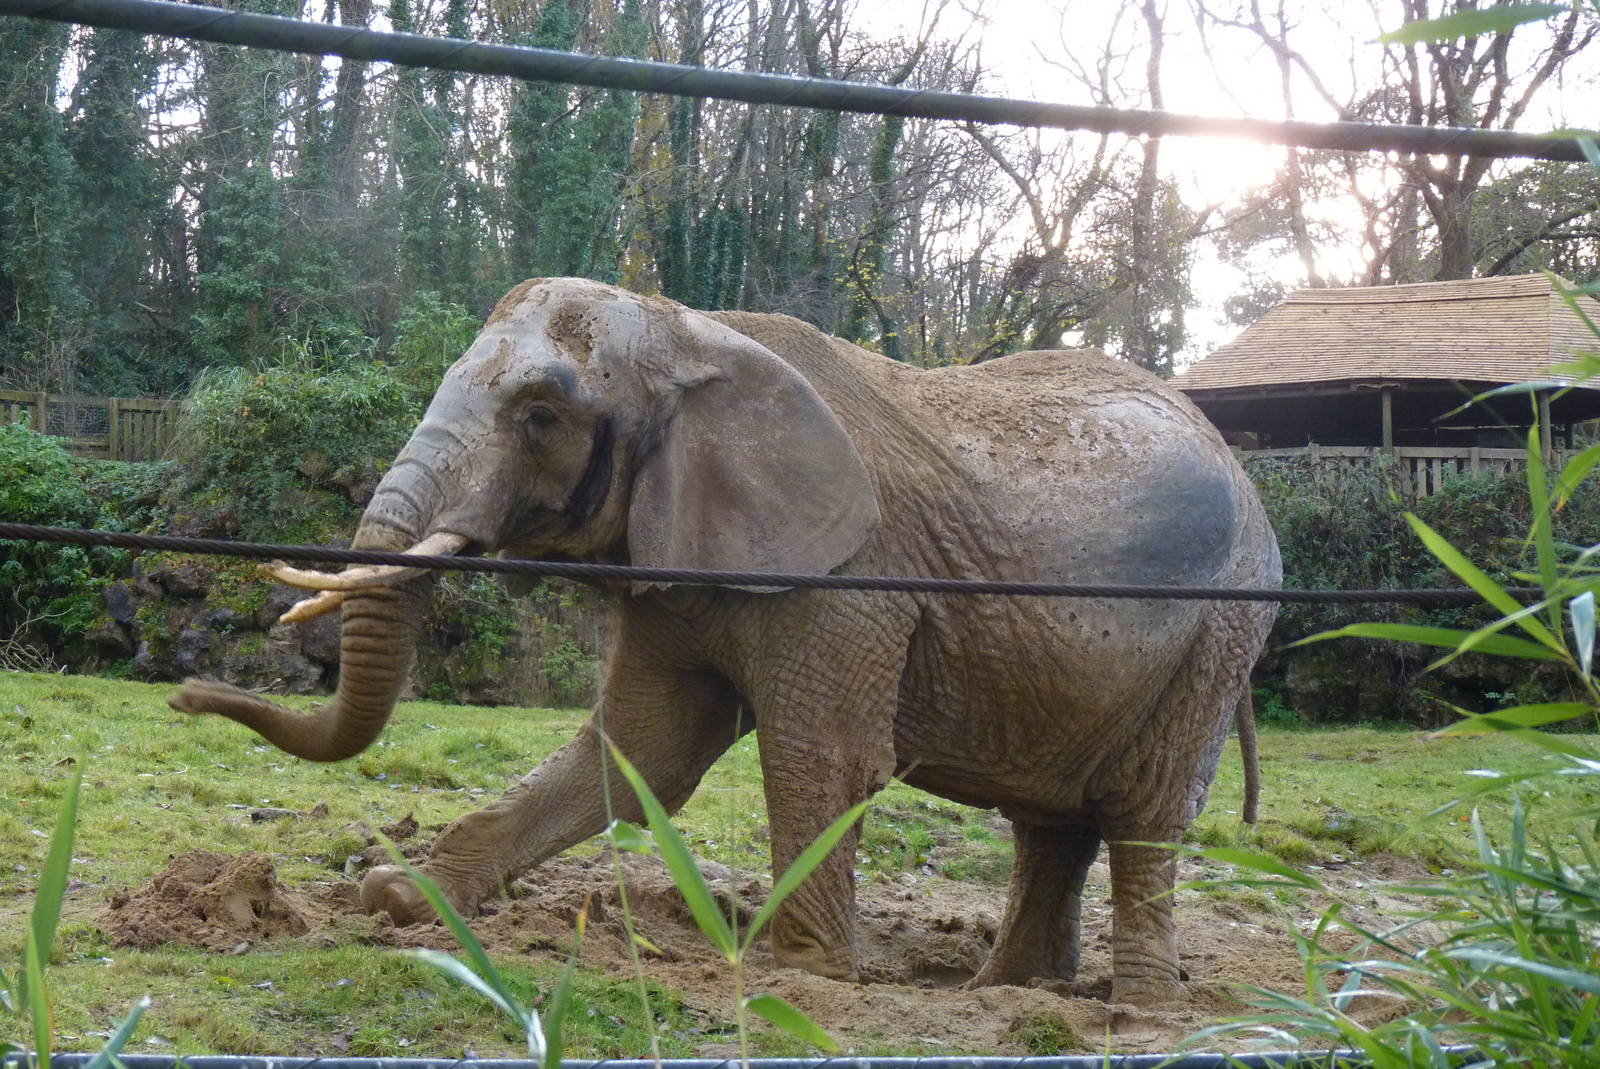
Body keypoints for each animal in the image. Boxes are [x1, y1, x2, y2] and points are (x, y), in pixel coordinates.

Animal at [169, 277, 1280, 1006]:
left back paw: (1139, 1007)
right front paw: (408, 899)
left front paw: (799, 974)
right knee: (1050, 821)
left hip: (1223, 628)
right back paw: (1005, 993)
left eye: (541, 415)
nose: (184, 696)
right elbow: (638, 752)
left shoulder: (851, 578)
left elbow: (818, 756)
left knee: (1143, 811)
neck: (684, 333)